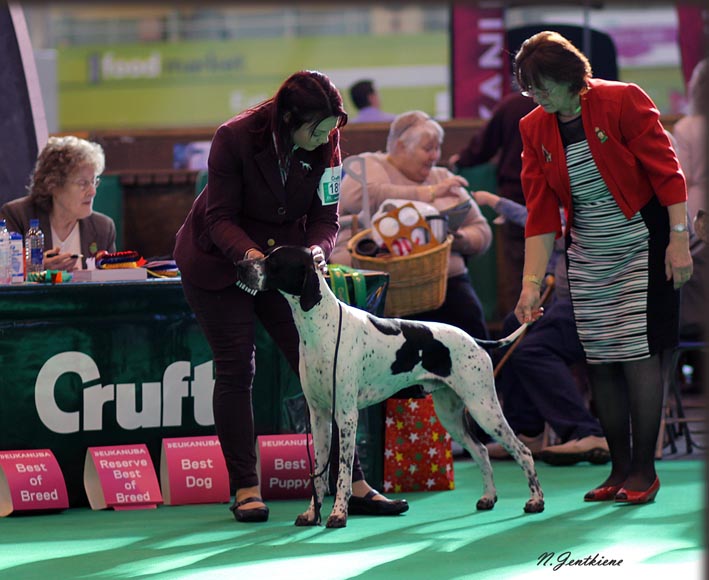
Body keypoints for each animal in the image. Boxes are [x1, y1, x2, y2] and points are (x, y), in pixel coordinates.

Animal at [235, 247, 544, 528]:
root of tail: (476, 340)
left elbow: (343, 473)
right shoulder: (319, 417)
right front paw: (312, 514)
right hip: (451, 415)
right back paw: (489, 497)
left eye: (273, 261)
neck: (320, 327)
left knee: (523, 452)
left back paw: (536, 501)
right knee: (481, 451)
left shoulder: (346, 416)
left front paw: (338, 514)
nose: (240, 265)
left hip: (484, 409)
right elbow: (319, 475)